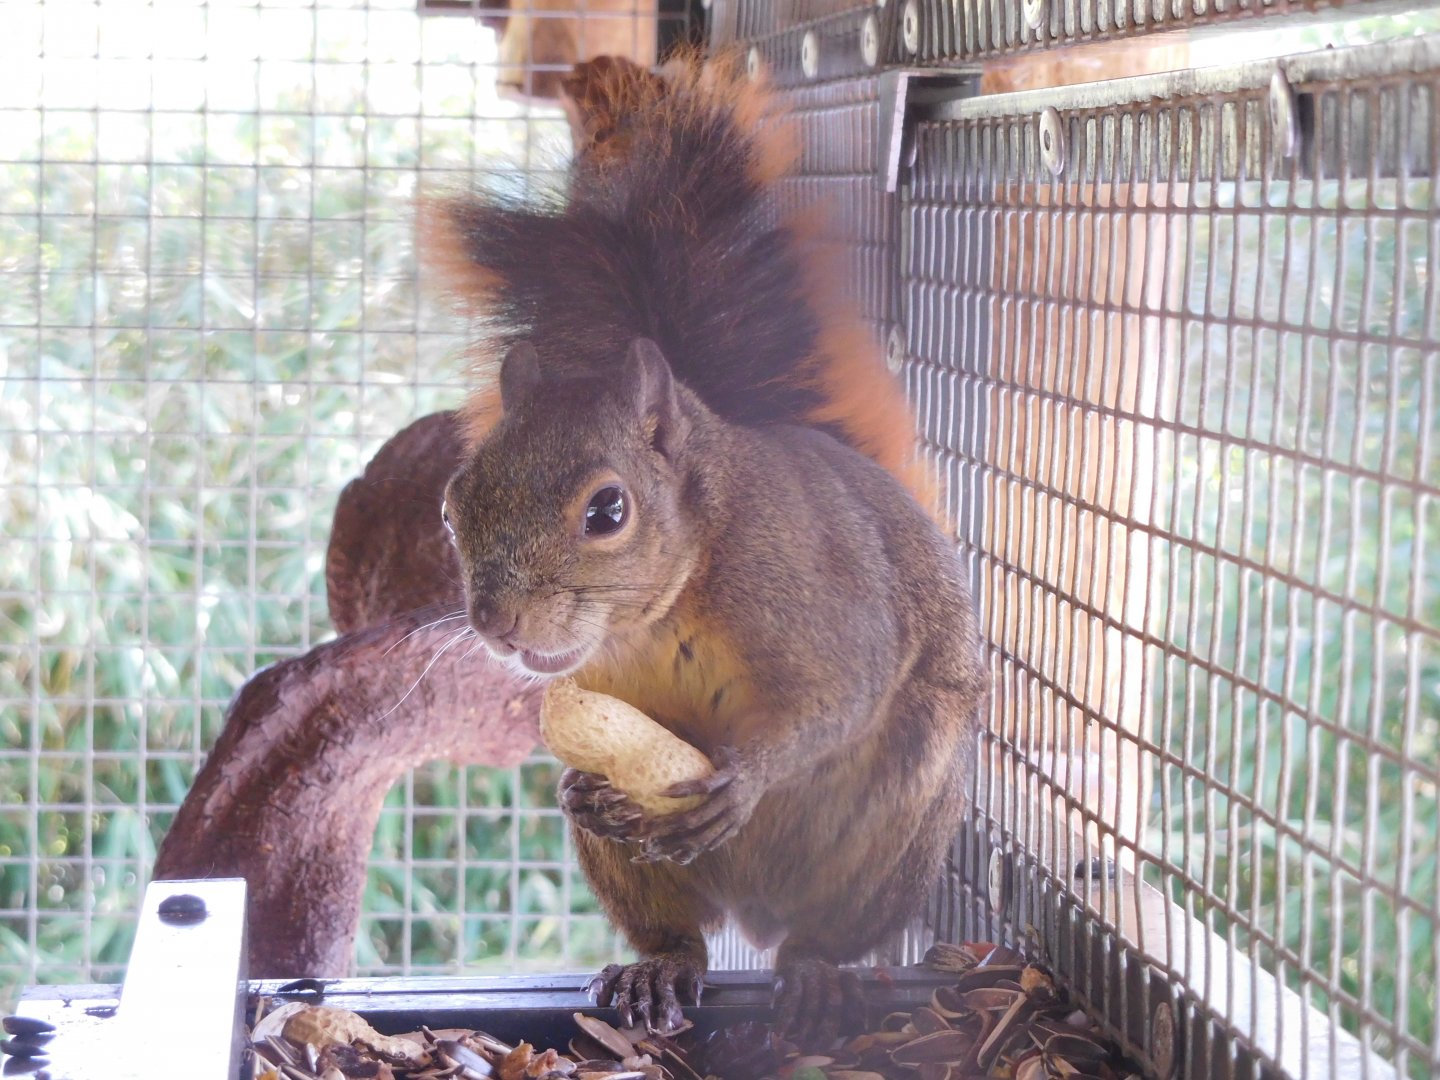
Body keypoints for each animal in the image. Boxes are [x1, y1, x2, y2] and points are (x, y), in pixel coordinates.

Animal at [423, 51, 989, 1047]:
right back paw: (659, 967)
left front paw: (742, 778)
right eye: (453, 508)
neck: (662, 608)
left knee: (825, 928)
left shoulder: (812, 592)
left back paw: (815, 974)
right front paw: (585, 786)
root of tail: (751, 918)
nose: (495, 625)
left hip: (899, 820)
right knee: (675, 933)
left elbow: (838, 695)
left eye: (608, 510)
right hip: (642, 876)